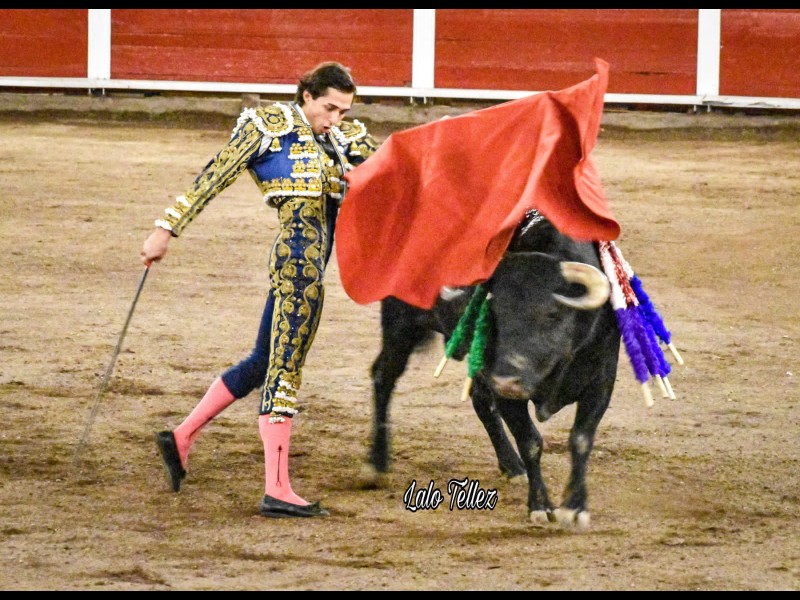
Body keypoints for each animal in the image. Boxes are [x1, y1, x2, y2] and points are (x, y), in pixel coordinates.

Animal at [359, 212, 621, 530]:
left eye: (553, 313)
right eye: (494, 314)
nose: (507, 381)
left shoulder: (601, 379)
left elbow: (581, 439)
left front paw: (574, 508)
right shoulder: (504, 389)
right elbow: (530, 441)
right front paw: (540, 506)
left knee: (481, 401)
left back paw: (511, 466)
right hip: (401, 324)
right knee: (384, 376)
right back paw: (377, 464)